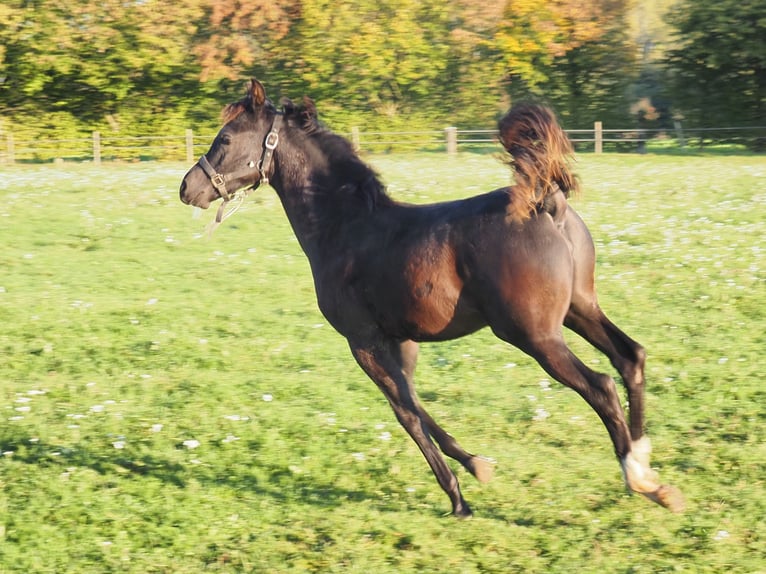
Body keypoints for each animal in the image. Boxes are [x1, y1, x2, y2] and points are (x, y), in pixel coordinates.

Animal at [179, 78, 684, 517]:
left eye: (225, 139)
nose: (188, 188)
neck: (346, 229)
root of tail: (546, 202)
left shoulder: (362, 340)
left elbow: (404, 411)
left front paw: (458, 499)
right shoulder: (402, 339)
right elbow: (416, 401)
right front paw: (477, 465)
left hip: (534, 334)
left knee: (600, 385)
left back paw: (638, 476)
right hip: (580, 309)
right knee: (631, 357)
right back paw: (646, 468)